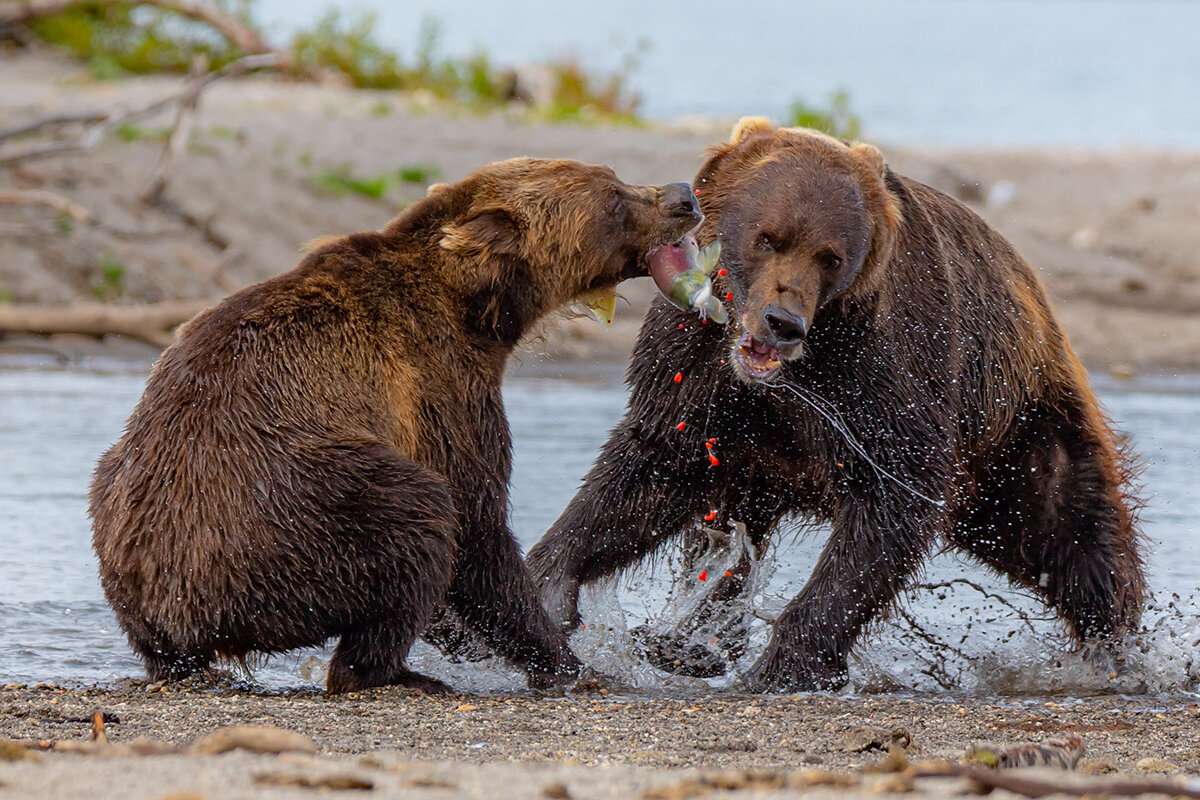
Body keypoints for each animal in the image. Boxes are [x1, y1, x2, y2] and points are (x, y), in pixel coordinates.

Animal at [91, 155, 700, 695]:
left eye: (615, 177)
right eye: (613, 197)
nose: (683, 196)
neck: (475, 308)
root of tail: (167, 608)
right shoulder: (440, 389)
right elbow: (476, 526)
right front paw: (565, 661)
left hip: (118, 492)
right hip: (278, 520)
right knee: (414, 515)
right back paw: (397, 672)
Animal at [530, 118, 1147, 695]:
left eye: (830, 257)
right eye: (768, 238)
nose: (782, 322)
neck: (788, 372)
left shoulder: (882, 369)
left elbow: (891, 500)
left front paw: (787, 664)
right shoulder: (696, 365)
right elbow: (651, 468)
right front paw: (548, 582)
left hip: (1018, 436)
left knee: (1074, 538)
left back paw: (1116, 655)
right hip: (764, 468)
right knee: (723, 537)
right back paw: (685, 640)